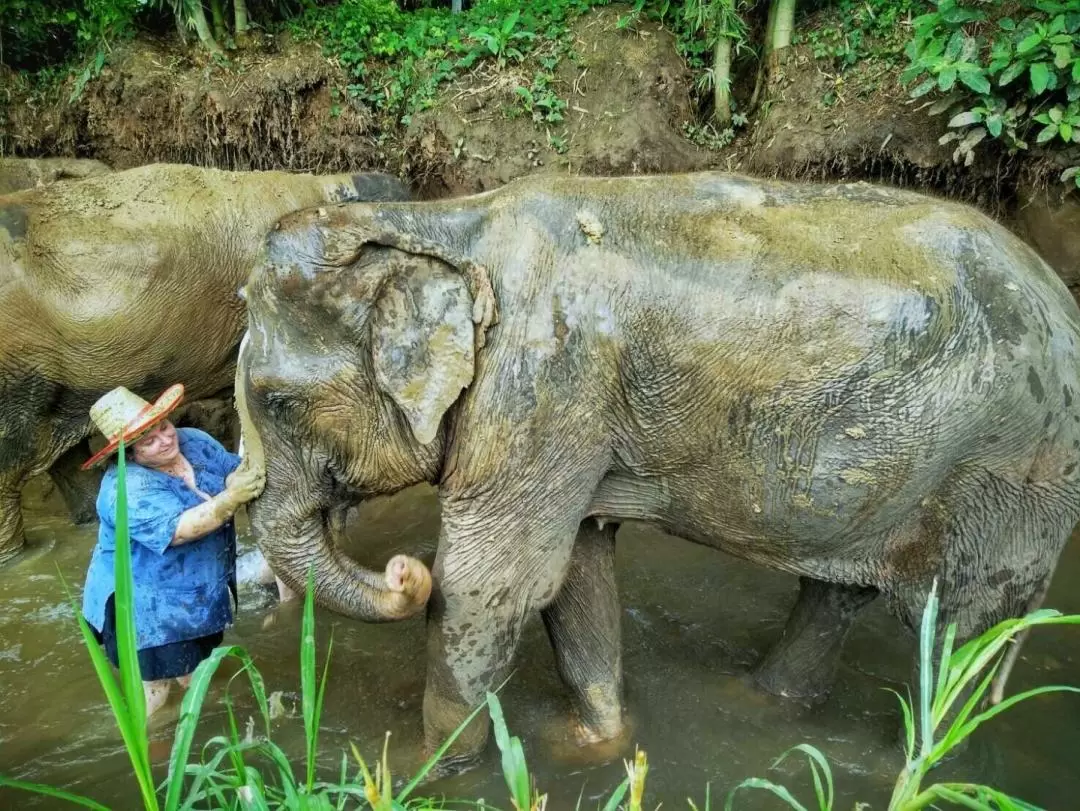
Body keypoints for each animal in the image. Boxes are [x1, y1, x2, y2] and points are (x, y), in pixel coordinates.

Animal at [234, 172, 1080, 773]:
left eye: (277, 402)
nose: (402, 569)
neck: (440, 221)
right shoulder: (564, 413)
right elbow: (574, 572)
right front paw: (598, 748)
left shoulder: (543, 384)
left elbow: (490, 585)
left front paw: (422, 773)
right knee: (839, 595)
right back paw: (765, 704)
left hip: (1016, 474)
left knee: (963, 638)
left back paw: (923, 764)